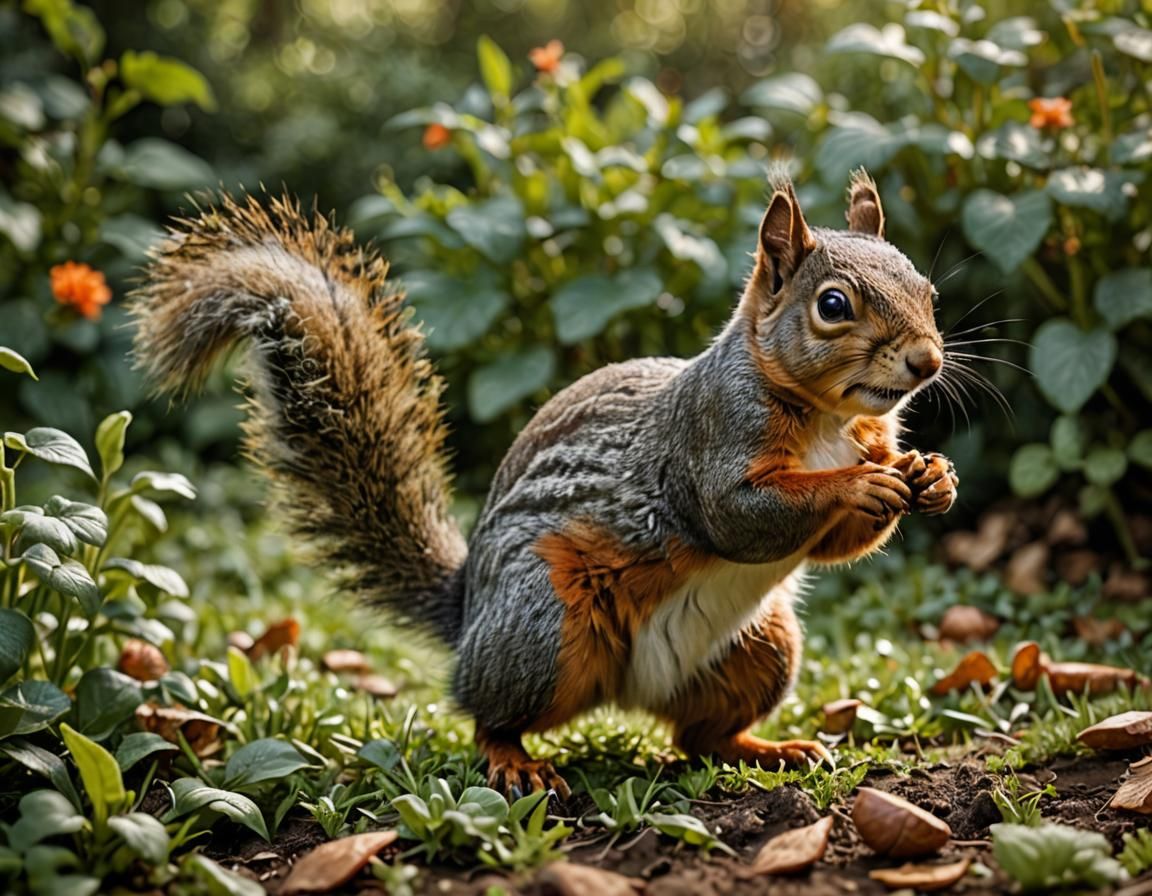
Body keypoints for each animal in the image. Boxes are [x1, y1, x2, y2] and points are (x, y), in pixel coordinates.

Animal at [131, 171, 958, 797]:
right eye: (832, 305)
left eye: (927, 289)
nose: (927, 361)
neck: (829, 421)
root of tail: (469, 612)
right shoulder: (705, 448)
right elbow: (740, 518)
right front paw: (859, 485)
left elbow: (834, 546)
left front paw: (930, 477)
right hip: (543, 624)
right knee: (484, 712)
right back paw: (515, 762)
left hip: (763, 649)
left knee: (699, 739)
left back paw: (769, 749)